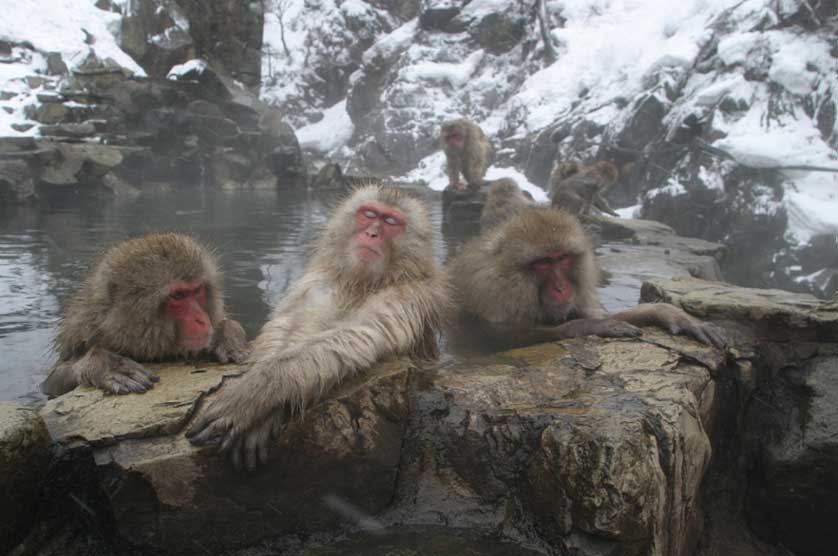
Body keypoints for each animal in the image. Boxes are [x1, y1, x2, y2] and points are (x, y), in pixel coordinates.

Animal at [42, 232, 248, 398]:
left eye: (197, 290)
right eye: (178, 295)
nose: (202, 320)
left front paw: (226, 333)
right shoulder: (81, 332)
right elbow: (51, 384)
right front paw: (104, 364)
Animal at [189, 184, 452, 470]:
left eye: (391, 222)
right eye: (369, 214)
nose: (372, 233)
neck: (362, 283)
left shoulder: (407, 295)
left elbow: (358, 335)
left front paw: (255, 394)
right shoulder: (321, 283)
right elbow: (292, 325)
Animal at [450, 206, 732, 350]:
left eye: (563, 258)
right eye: (543, 263)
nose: (561, 288)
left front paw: (668, 313)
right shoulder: (491, 295)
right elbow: (495, 338)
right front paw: (589, 327)